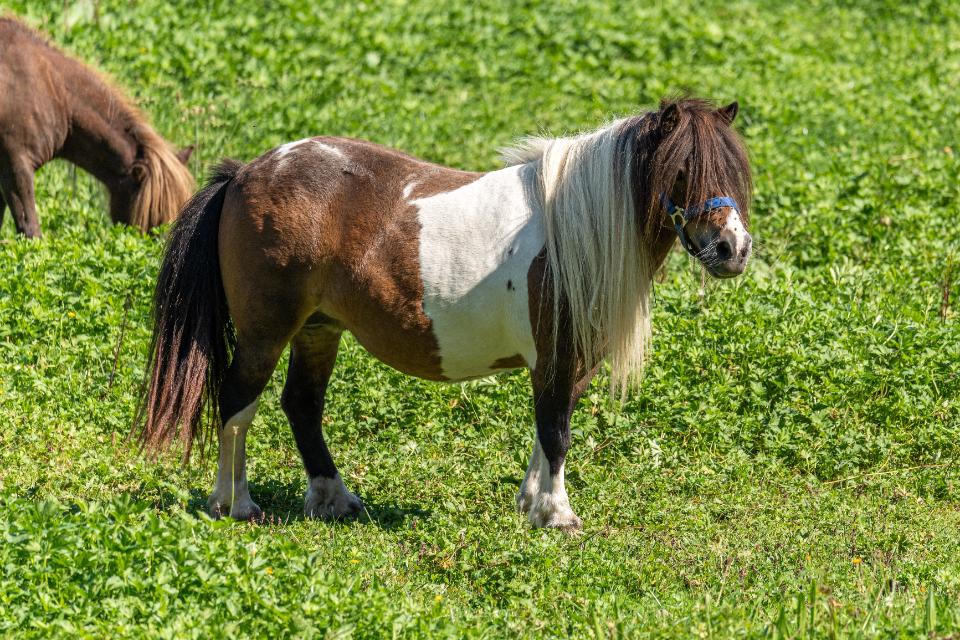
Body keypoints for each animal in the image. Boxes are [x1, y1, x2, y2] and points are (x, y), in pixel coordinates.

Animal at [136, 97, 752, 533]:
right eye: (681, 170)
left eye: (737, 171)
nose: (733, 249)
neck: (570, 230)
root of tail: (243, 173)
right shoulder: (554, 356)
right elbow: (556, 432)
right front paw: (557, 514)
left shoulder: (567, 363)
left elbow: (547, 428)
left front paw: (532, 502)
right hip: (266, 332)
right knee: (238, 403)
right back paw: (234, 504)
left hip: (318, 329)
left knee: (301, 406)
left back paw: (334, 499)